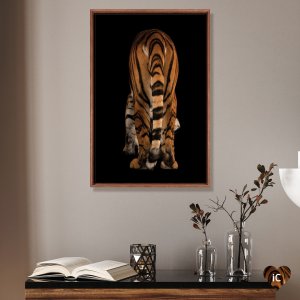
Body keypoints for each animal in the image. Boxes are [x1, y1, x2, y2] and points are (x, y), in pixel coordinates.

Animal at [123, 29, 179, 170]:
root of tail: (155, 36)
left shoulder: (130, 101)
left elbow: (129, 126)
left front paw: (128, 149)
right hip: (169, 98)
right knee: (168, 136)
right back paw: (169, 163)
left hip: (140, 99)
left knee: (144, 139)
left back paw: (138, 163)